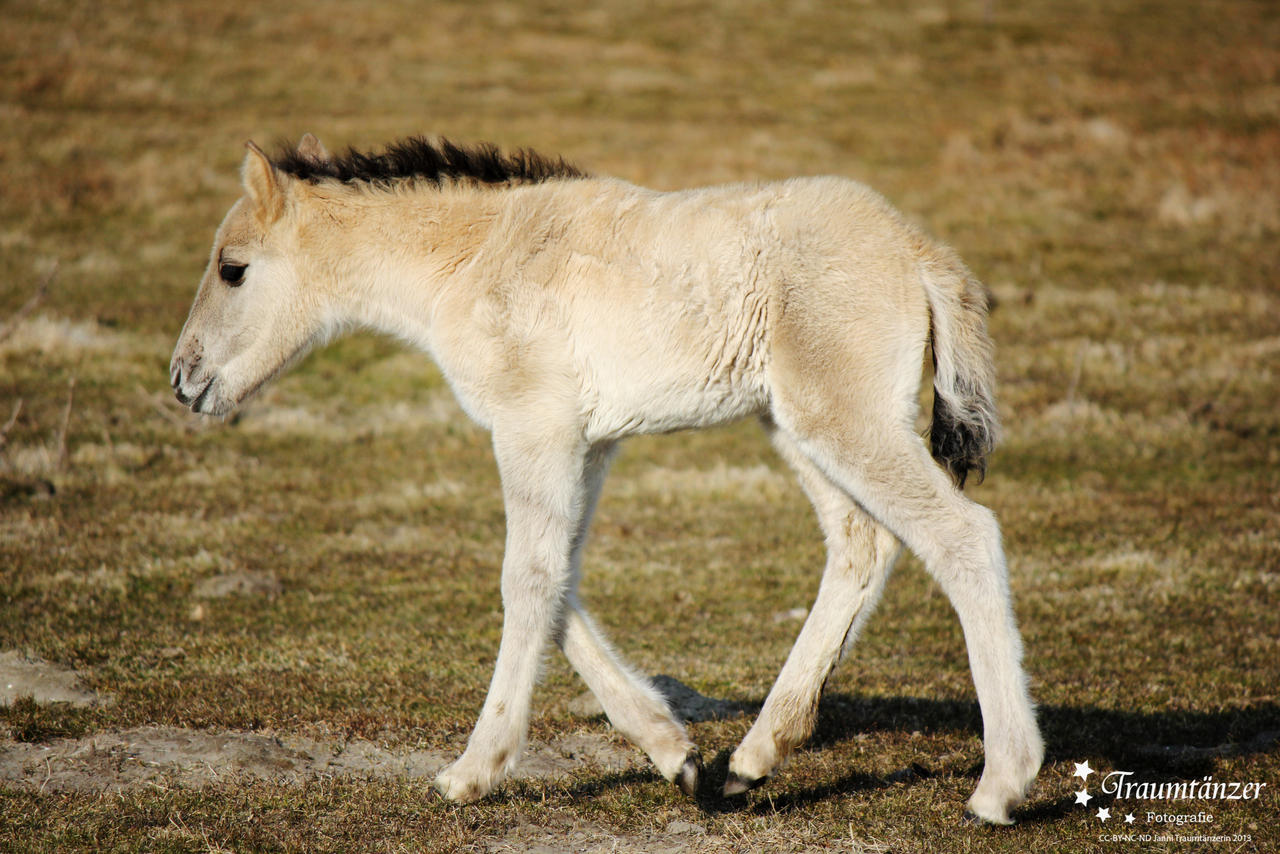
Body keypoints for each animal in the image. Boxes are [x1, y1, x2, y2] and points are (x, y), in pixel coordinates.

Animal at [175, 136, 1044, 824]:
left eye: (232, 269)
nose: (183, 381)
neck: (477, 256)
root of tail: (917, 249)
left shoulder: (534, 428)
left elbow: (526, 578)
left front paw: (472, 772)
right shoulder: (587, 444)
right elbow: (561, 578)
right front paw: (674, 754)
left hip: (843, 420)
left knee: (962, 536)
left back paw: (1000, 786)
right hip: (799, 426)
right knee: (863, 544)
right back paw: (750, 760)